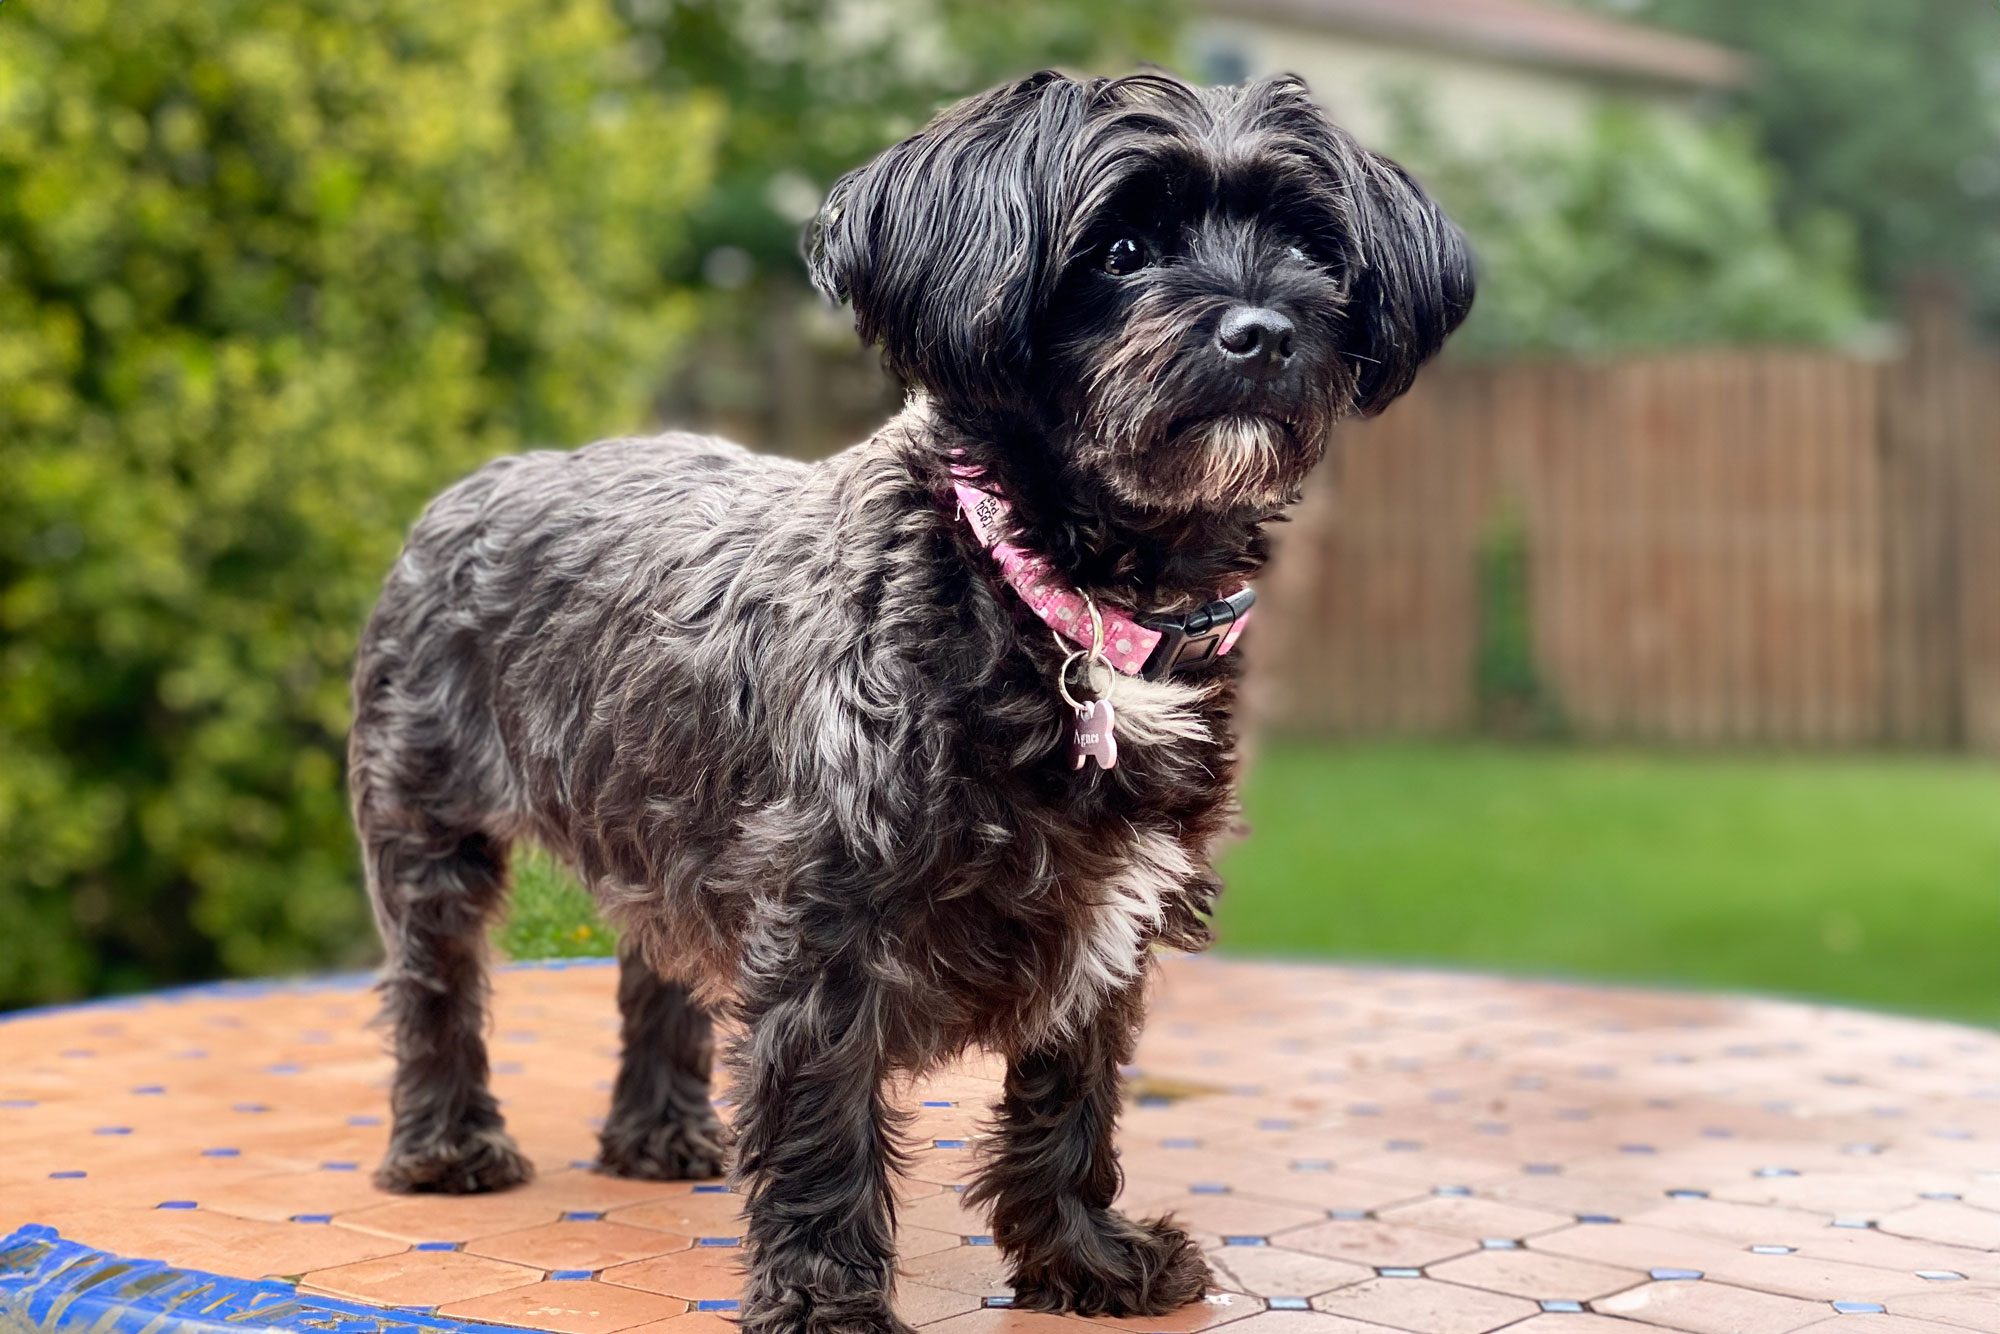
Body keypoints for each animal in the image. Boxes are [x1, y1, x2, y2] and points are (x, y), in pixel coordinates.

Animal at [352, 70, 1472, 1334]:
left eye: (1305, 246)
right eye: (1120, 248)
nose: (1264, 330)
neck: (1066, 607)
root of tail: (475, 480)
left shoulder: (1109, 916)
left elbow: (1071, 1098)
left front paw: (1083, 1258)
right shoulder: (827, 919)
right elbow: (823, 1116)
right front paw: (825, 1299)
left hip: (664, 818)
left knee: (657, 965)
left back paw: (658, 1133)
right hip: (429, 823)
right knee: (436, 981)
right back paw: (448, 1143)